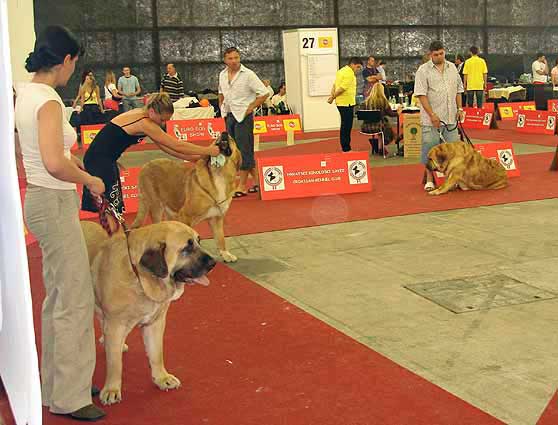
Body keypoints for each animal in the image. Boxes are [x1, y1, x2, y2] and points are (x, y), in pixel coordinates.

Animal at [81, 220, 217, 406]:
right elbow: (115, 364)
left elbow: (156, 353)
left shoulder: (155, 323)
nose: (213, 262)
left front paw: (162, 378)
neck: (140, 276)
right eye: (186, 248)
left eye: (199, 241)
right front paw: (111, 389)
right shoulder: (116, 325)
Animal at [135, 132, 244, 264]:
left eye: (231, 139)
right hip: (156, 206)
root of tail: (146, 165)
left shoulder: (217, 218)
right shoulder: (185, 216)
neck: (220, 173)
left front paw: (225, 254)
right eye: (216, 139)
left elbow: (220, 238)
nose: (224, 133)